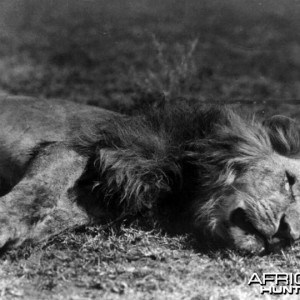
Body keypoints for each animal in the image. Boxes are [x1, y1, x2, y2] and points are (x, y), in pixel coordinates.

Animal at [0, 95, 300, 254]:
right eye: (289, 180)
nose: (288, 234)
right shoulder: (76, 147)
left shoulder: (100, 201)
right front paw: (5, 223)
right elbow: (39, 191)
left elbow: (49, 218)